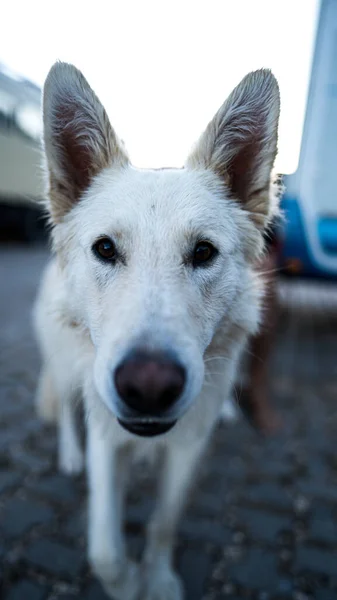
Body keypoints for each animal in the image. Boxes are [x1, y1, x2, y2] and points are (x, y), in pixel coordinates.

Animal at [34, 62, 280, 600]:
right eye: (105, 249)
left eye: (204, 252)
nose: (148, 388)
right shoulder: (106, 435)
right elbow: (105, 550)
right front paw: (128, 584)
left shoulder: (187, 447)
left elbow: (164, 522)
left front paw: (159, 579)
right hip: (64, 364)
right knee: (65, 408)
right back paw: (69, 454)